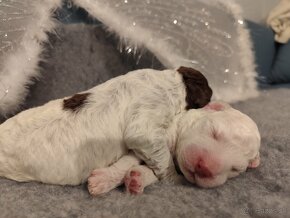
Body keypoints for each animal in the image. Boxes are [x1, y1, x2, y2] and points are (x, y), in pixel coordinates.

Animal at [86, 102, 260, 196]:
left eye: (235, 169)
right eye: (214, 132)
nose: (204, 168)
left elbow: (162, 173)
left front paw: (138, 178)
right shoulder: (152, 139)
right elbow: (129, 160)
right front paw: (103, 180)